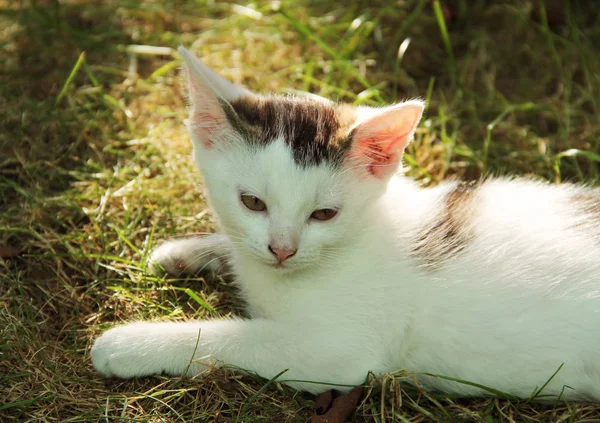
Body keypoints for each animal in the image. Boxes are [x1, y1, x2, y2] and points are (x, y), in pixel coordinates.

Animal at [91, 48, 600, 402]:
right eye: (252, 203)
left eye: (324, 215)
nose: (283, 249)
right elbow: (235, 247)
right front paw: (184, 252)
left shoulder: (339, 353)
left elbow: (237, 337)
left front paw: (131, 344)